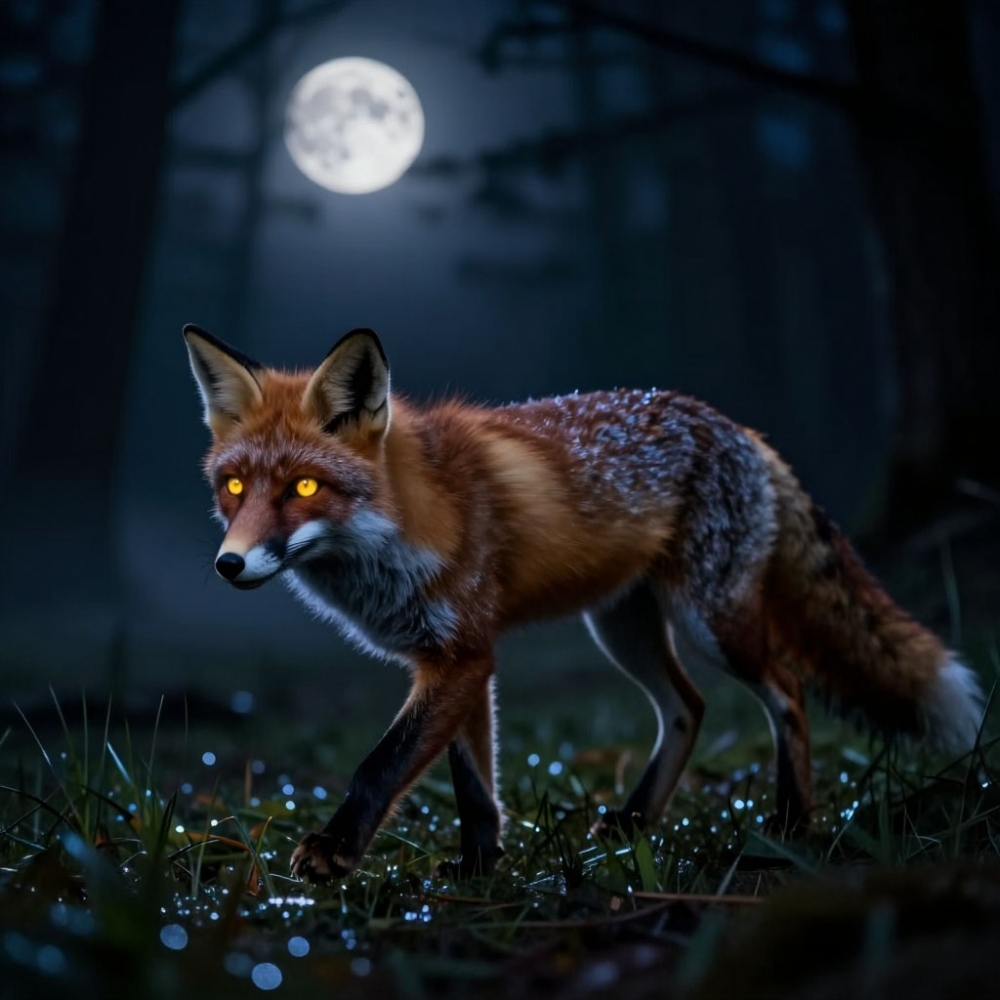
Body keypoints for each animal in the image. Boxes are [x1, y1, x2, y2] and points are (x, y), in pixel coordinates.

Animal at [183, 323, 983, 883]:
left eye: (304, 487)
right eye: (234, 486)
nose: (228, 564)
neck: (403, 523)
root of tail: (739, 430)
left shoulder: (462, 655)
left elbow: (383, 762)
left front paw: (336, 850)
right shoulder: (458, 658)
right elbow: (474, 785)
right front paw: (480, 870)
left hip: (713, 623)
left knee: (787, 692)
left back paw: (788, 825)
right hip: (622, 628)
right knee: (688, 707)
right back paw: (635, 821)